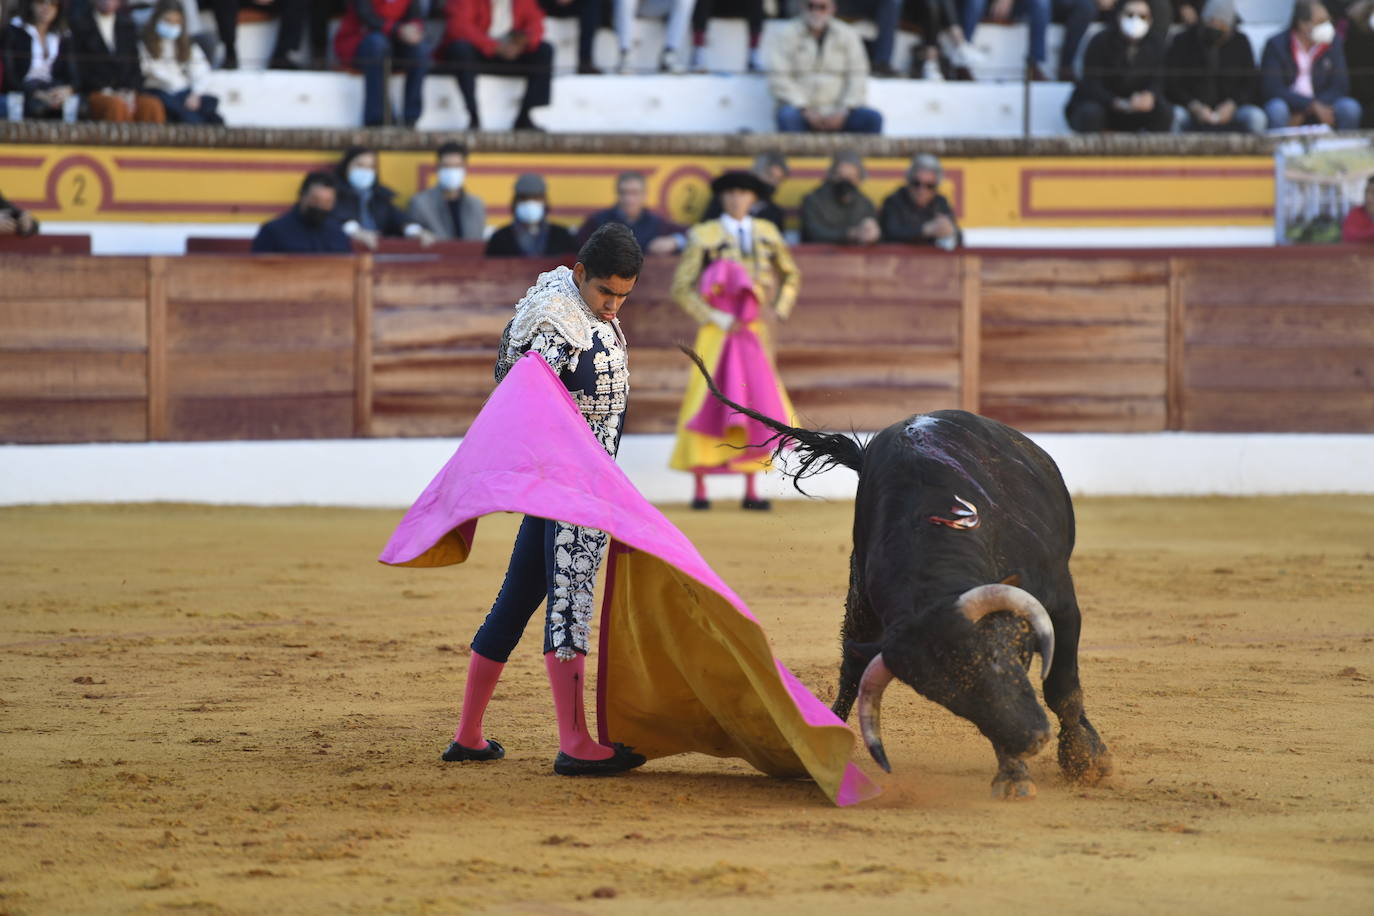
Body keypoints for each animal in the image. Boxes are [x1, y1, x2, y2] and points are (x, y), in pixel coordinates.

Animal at [681, 348, 1110, 796]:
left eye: (1000, 658)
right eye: (950, 699)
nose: (1030, 739)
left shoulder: (1060, 601)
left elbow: (1062, 686)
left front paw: (1087, 761)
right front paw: (1013, 775)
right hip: (859, 602)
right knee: (851, 668)